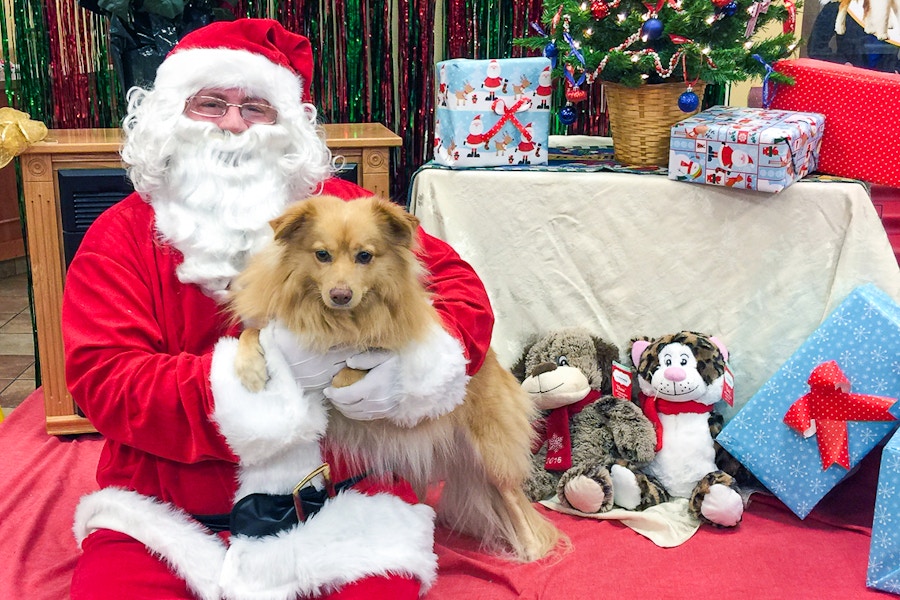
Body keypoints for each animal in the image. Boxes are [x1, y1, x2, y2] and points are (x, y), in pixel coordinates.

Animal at [227, 193, 564, 564]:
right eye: (321, 255)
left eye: (364, 256)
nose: (340, 295)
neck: (335, 322)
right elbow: (256, 333)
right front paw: (251, 367)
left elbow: (348, 372)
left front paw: (340, 384)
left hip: (491, 452)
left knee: (513, 498)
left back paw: (530, 549)